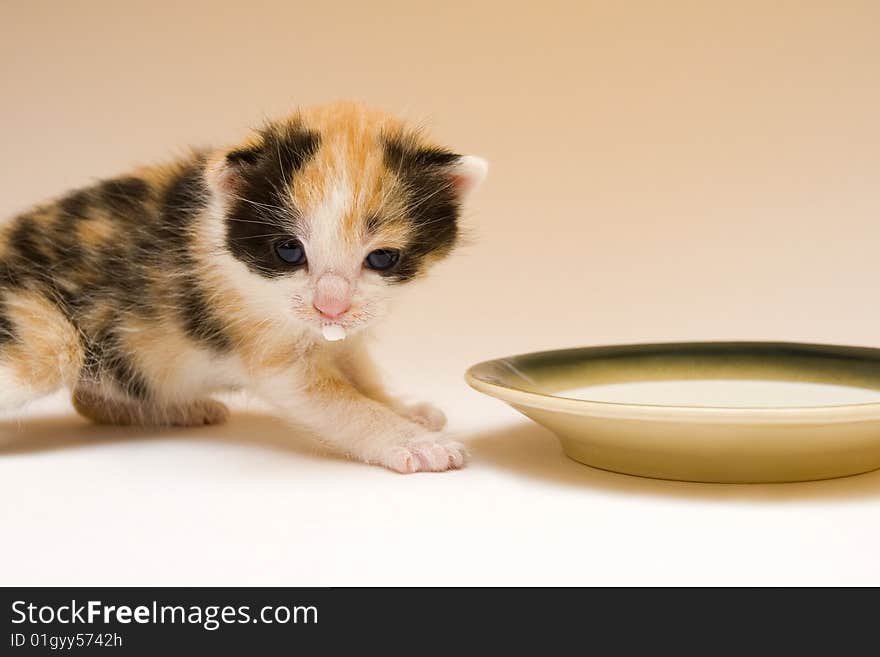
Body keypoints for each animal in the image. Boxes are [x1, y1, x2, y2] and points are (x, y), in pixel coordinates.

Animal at [0, 100, 488, 472]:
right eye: (289, 251)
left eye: (383, 258)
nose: (330, 309)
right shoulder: (269, 348)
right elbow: (338, 402)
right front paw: (413, 442)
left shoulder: (352, 324)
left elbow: (356, 363)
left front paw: (402, 408)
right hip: (43, 335)